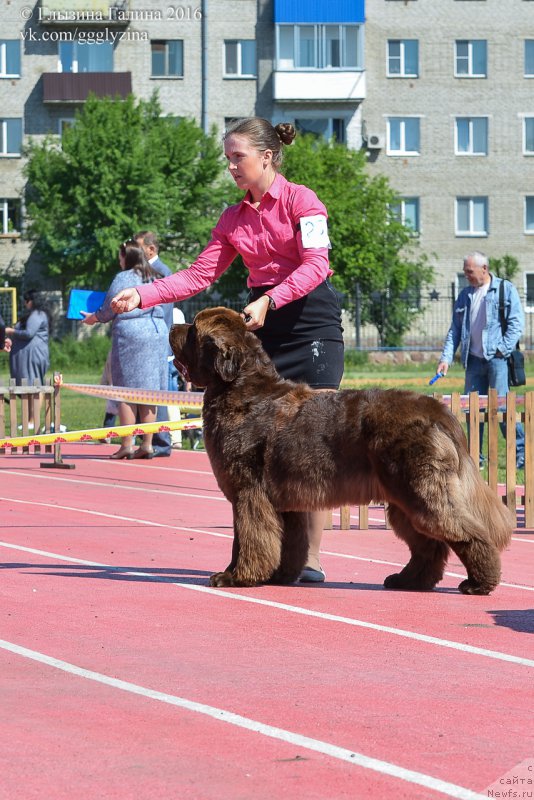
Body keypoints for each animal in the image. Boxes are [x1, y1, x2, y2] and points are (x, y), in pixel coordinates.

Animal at [172, 306, 516, 592]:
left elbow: (246, 538)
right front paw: (280, 575)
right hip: (403, 500)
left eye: (193, 330)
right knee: (428, 546)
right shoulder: (282, 501)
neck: (242, 390)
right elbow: (288, 542)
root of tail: (437, 410)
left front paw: (234, 576)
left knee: (464, 531)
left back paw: (479, 583)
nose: (174, 326)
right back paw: (408, 581)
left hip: (420, 491)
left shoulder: (248, 493)